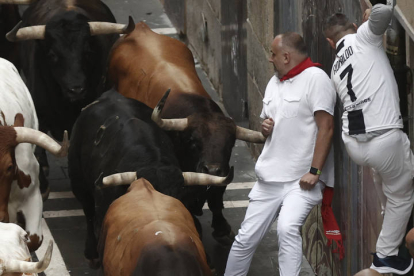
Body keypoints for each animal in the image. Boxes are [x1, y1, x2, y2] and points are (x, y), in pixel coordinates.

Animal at [109, 21, 266, 246]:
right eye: (193, 142)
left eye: (230, 144)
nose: (212, 170)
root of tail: (139, 28)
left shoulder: (223, 171)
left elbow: (216, 197)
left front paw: (221, 228)